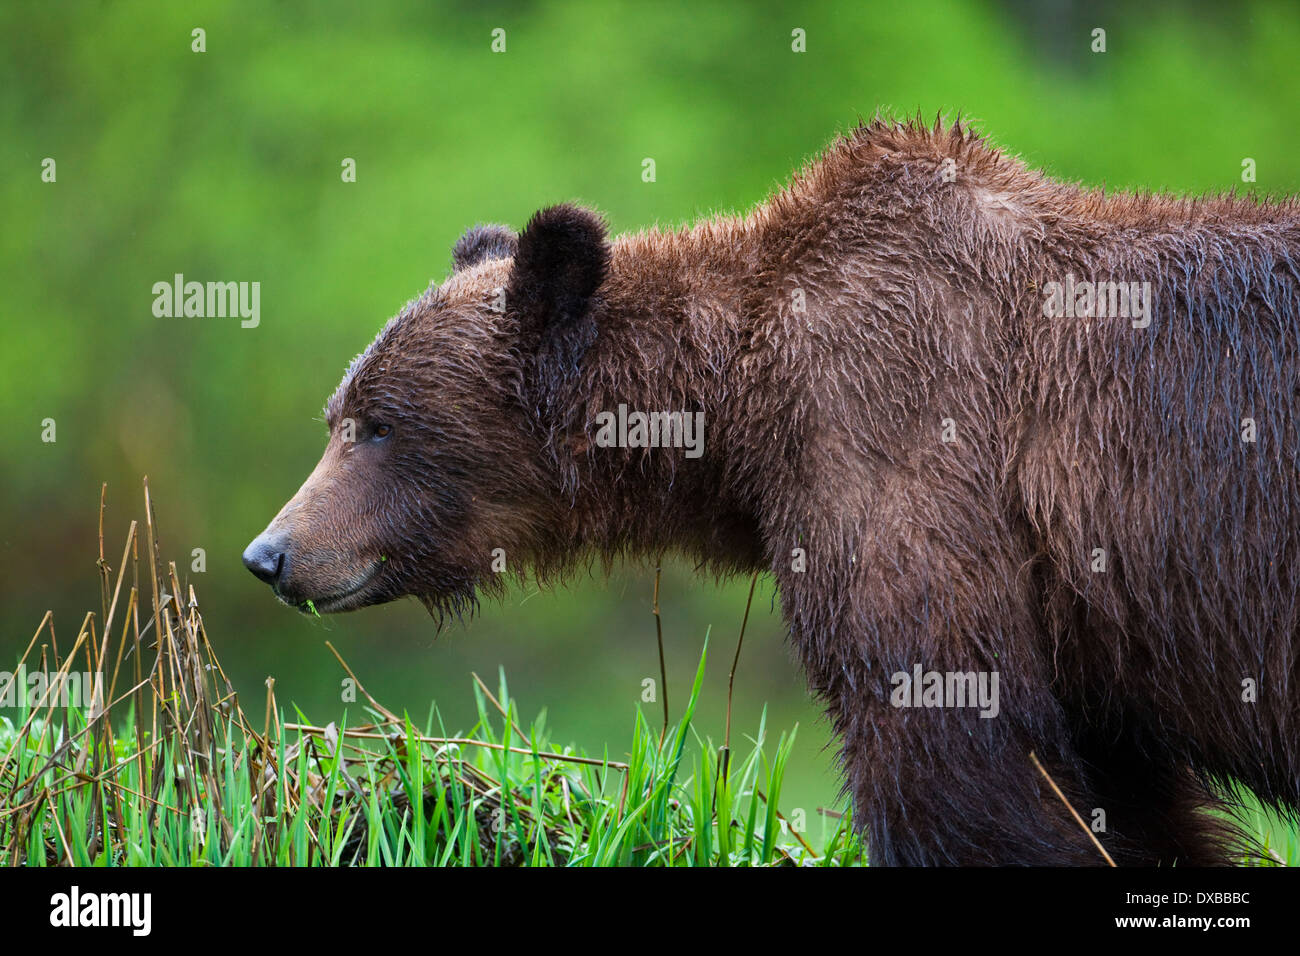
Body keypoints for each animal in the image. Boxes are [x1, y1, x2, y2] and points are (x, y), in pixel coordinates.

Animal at [244, 118, 1300, 866]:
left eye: (376, 423)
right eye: (339, 414)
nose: (271, 553)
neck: (741, 409)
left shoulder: (906, 450)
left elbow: (956, 758)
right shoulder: (1078, 631)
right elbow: (1121, 799)